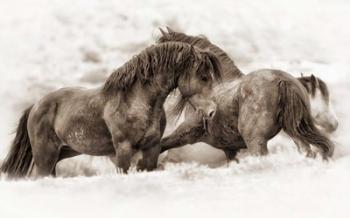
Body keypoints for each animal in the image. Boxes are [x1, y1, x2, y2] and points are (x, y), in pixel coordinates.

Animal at [1, 41, 223, 178]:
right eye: (204, 77)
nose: (212, 112)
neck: (136, 101)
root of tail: (36, 105)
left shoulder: (152, 149)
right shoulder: (123, 150)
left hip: (64, 152)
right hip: (45, 155)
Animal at [158, 28, 336, 162]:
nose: (335, 125)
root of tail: (282, 80)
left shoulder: (185, 134)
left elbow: (161, 145)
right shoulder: (230, 150)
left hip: (256, 143)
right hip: (294, 132)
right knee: (306, 152)